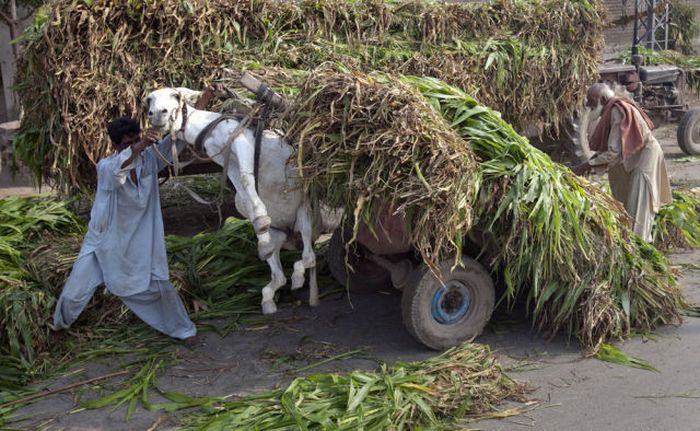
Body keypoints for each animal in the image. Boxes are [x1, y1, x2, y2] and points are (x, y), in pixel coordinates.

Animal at [147, 87, 320, 314]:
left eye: (175, 95)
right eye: (148, 100)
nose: (158, 114)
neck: (209, 127)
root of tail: (290, 232)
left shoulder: (240, 141)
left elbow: (247, 179)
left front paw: (261, 218)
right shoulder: (228, 163)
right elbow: (244, 193)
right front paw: (260, 223)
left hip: (304, 215)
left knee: (308, 257)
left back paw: (297, 277)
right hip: (280, 234)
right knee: (281, 275)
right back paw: (269, 294)